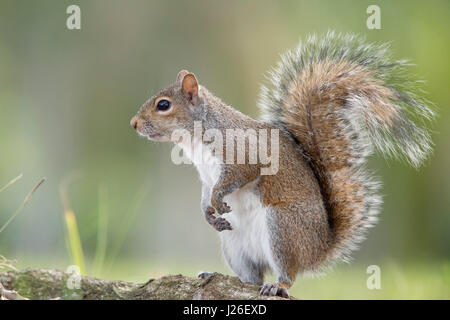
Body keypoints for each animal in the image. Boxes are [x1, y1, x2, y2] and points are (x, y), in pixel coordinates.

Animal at [129, 31, 432, 298]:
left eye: (163, 105)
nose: (133, 123)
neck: (194, 138)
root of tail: (319, 248)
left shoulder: (243, 155)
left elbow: (236, 177)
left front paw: (218, 199)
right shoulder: (206, 175)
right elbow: (206, 192)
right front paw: (208, 213)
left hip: (283, 228)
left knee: (288, 272)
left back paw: (278, 285)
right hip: (234, 245)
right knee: (251, 277)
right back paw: (221, 276)